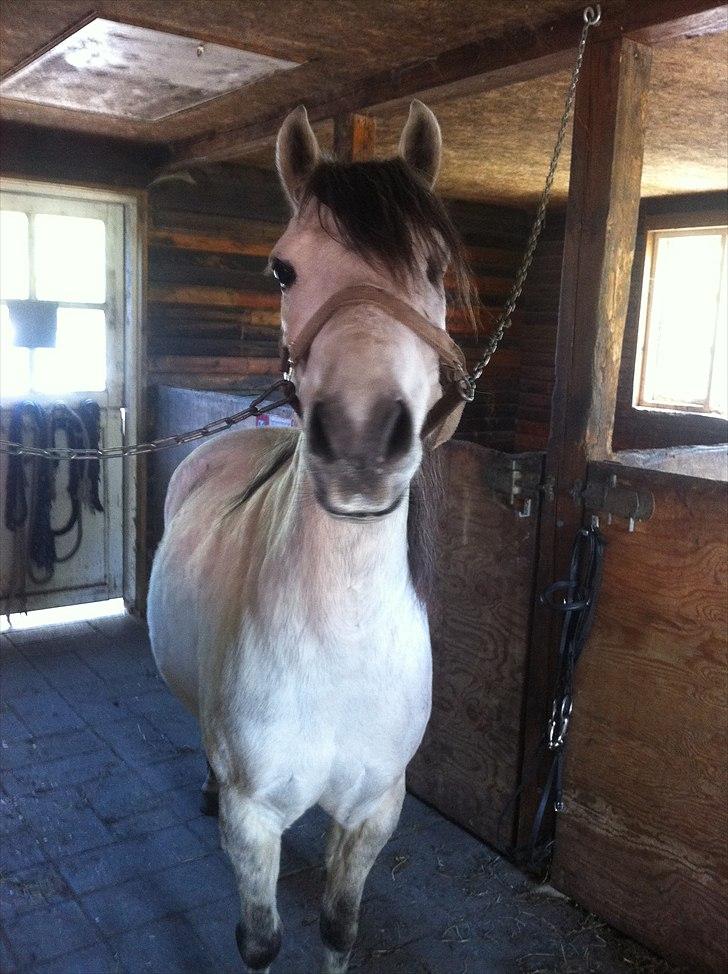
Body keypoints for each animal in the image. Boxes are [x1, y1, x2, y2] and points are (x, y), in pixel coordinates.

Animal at [147, 99, 477, 973]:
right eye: (281, 271)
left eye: (435, 266)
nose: (360, 442)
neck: (342, 638)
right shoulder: (254, 818)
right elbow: (261, 940)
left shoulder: (374, 811)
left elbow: (339, 927)